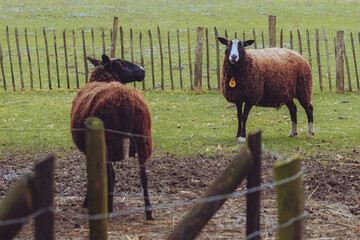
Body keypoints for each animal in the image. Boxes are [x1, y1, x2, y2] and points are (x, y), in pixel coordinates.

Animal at [70, 55, 153, 220]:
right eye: (120, 64)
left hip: (108, 141)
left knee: (110, 174)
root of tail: (127, 102)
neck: (104, 79)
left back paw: (108, 210)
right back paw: (148, 212)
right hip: (143, 139)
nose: (143, 71)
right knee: (144, 176)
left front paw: (87, 202)